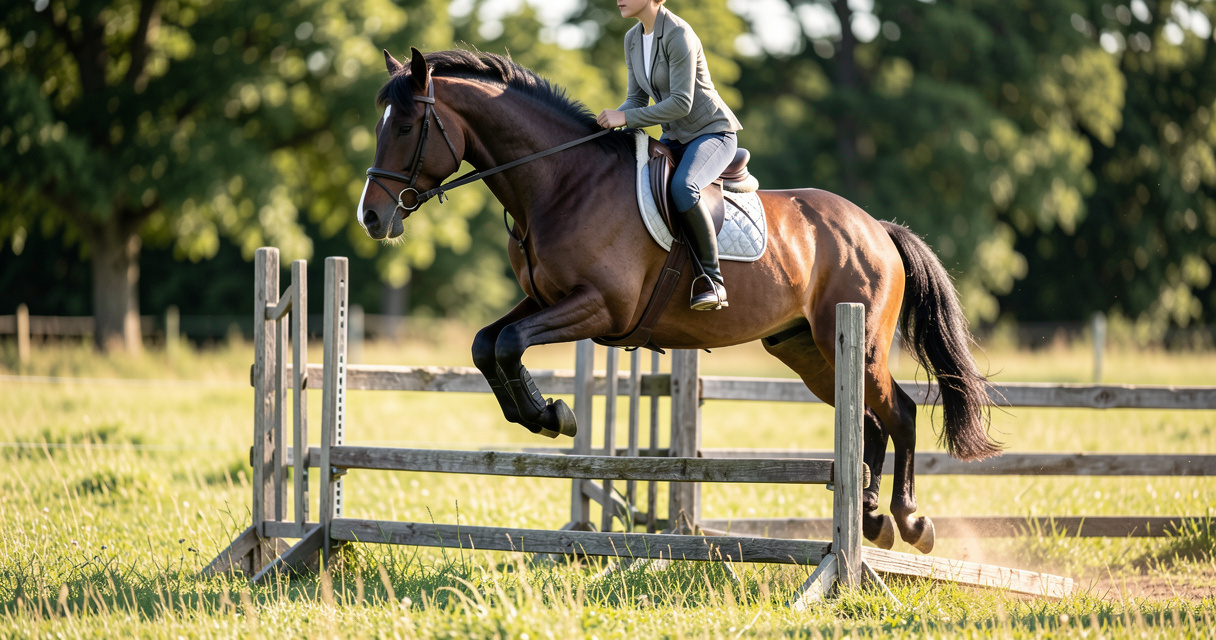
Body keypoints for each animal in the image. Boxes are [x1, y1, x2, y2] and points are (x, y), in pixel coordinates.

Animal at [357, 47, 1000, 554]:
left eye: (408, 125)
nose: (371, 217)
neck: (560, 182)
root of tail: (876, 228)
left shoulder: (600, 307)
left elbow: (509, 343)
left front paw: (551, 414)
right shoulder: (544, 299)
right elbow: (487, 344)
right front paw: (541, 414)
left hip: (857, 345)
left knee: (901, 415)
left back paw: (909, 522)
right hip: (807, 350)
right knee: (867, 422)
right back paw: (868, 518)